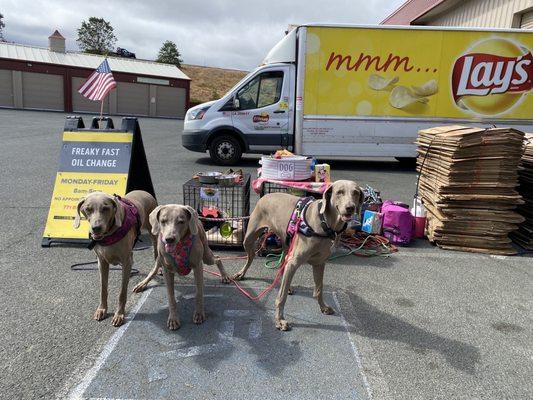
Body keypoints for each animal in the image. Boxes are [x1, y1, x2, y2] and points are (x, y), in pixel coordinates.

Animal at [72, 190, 157, 324]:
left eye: (106, 208)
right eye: (88, 209)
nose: (96, 228)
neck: (109, 234)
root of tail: (145, 192)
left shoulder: (127, 262)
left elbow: (122, 292)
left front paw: (119, 314)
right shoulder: (101, 262)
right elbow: (103, 289)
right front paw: (102, 309)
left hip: (154, 235)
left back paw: (144, 283)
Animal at [233, 181, 362, 332]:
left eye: (356, 193)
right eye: (339, 192)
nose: (350, 208)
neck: (325, 224)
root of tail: (265, 195)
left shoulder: (319, 263)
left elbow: (319, 289)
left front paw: (323, 307)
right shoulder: (294, 262)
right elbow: (281, 297)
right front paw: (280, 320)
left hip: (286, 243)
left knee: (283, 266)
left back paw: (287, 286)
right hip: (249, 238)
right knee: (251, 257)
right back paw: (241, 273)